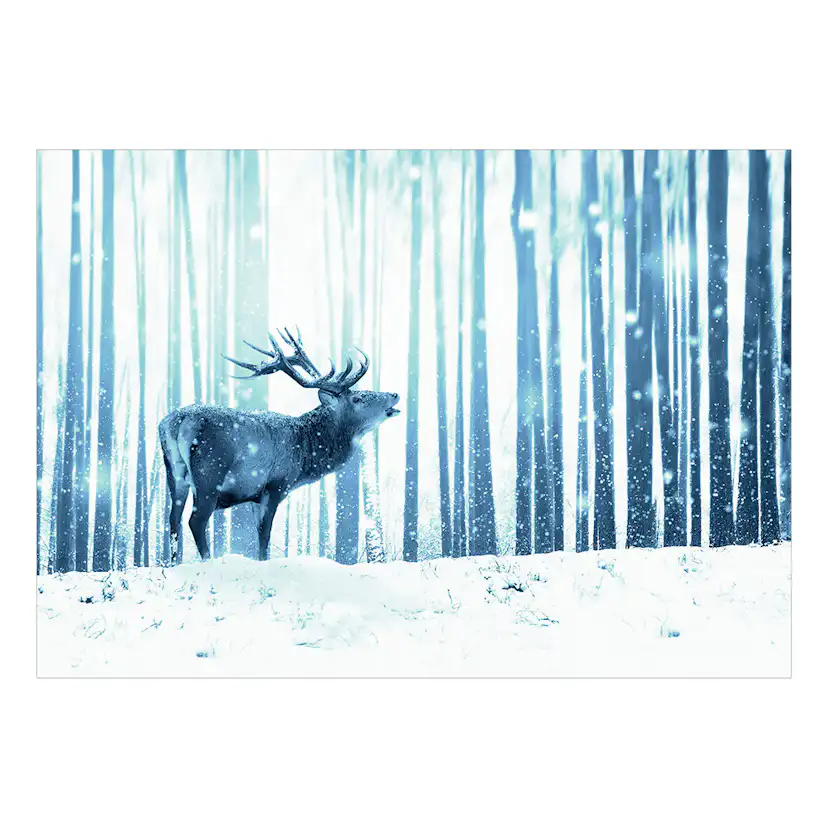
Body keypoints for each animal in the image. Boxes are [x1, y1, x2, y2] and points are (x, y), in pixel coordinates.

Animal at [158, 328, 400, 563]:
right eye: (357, 398)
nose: (395, 394)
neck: (304, 455)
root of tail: (177, 422)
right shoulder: (276, 484)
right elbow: (265, 536)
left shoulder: (255, 495)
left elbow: (259, 535)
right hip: (210, 472)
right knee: (196, 520)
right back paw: (207, 561)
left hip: (174, 473)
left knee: (173, 519)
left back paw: (173, 563)